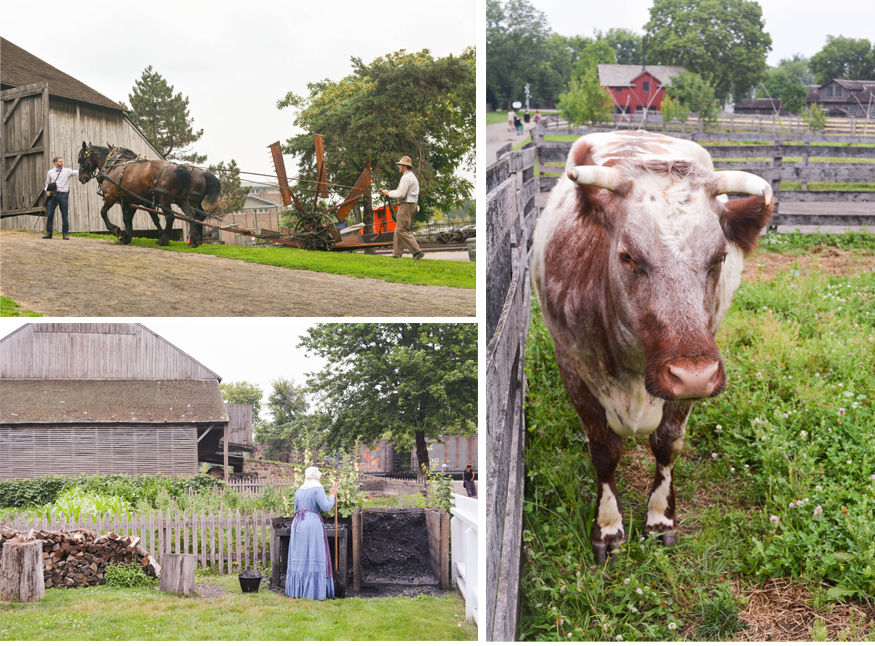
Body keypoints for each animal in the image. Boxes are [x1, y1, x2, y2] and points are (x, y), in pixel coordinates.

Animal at [76, 144, 219, 248]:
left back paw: (163, 240)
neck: (113, 165)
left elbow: (103, 212)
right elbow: (127, 219)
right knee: (191, 215)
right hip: (182, 199)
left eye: (80, 158)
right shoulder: (130, 200)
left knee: (171, 217)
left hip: (167, 199)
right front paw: (127, 237)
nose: (81, 177)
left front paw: (115, 230)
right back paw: (194, 241)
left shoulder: (112, 196)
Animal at [532, 130, 772, 560]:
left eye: (719, 257)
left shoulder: (687, 386)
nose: (694, 374)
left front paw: (660, 519)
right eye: (628, 256)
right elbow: (604, 450)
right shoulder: (572, 367)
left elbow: (666, 444)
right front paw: (608, 528)